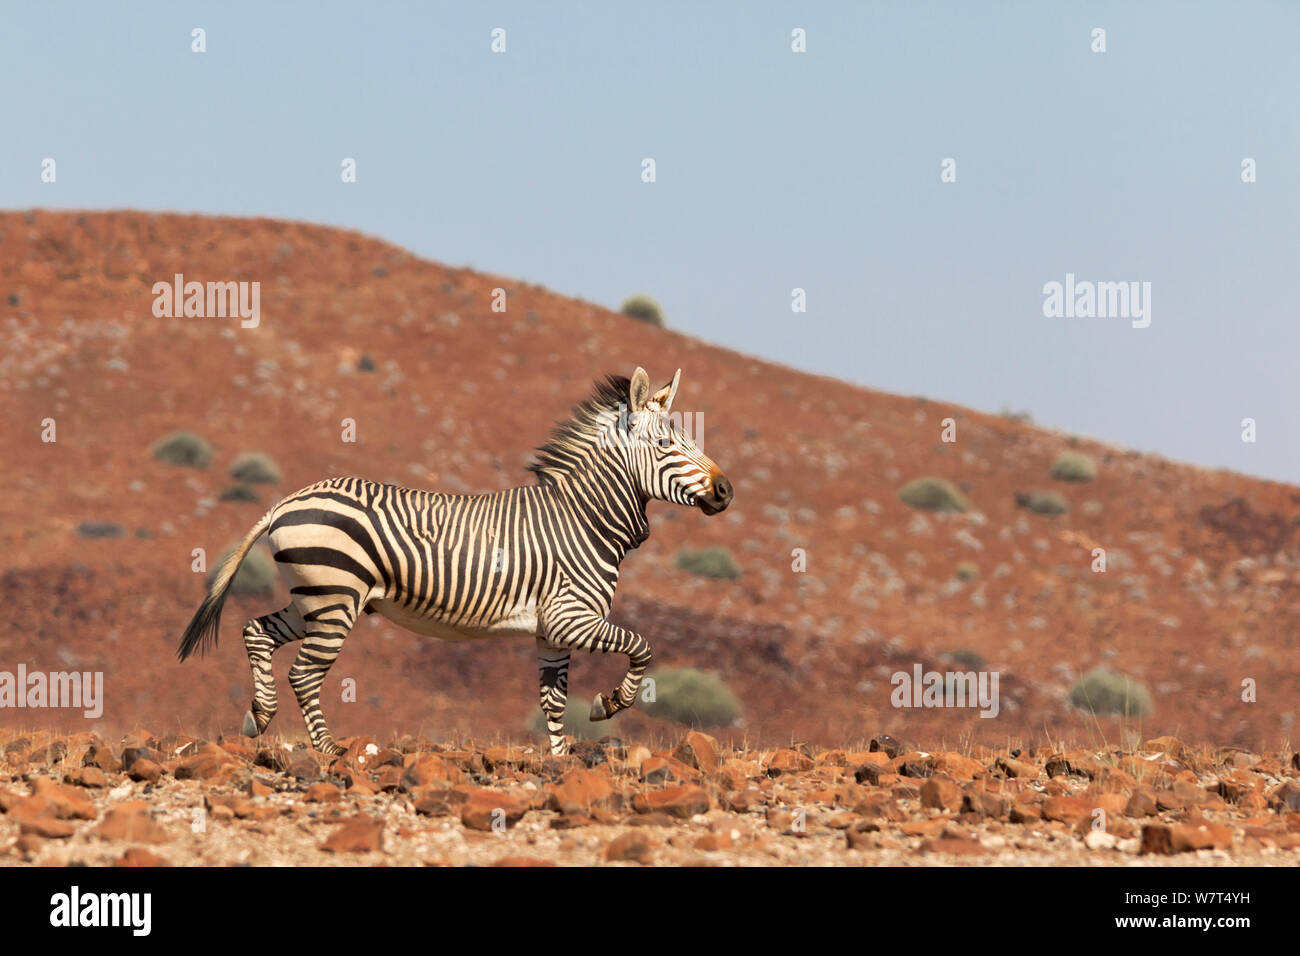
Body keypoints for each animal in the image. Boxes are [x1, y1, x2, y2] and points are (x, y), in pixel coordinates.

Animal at [175, 369, 733, 759]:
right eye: (665, 445)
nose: (726, 490)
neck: (583, 518)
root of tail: (285, 501)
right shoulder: (570, 618)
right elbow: (642, 647)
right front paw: (609, 703)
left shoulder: (551, 631)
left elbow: (553, 701)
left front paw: (558, 761)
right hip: (335, 600)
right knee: (305, 675)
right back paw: (328, 750)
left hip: (312, 599)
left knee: (256, 632)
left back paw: (258, 716)